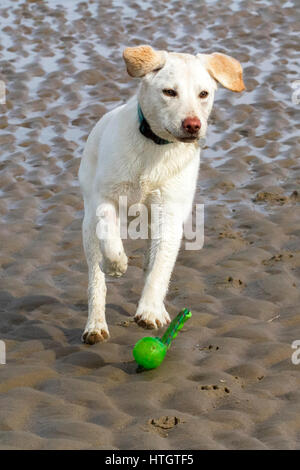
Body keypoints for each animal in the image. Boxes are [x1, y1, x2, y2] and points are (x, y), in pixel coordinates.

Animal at [78, 46, 245, 344]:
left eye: (204, 94)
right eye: (169, 92)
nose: (193, 125)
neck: (155, 147)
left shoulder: (170, 213)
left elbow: (160, 269)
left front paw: (150, 311)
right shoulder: (105, 199)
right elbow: (110, 240)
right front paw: (116, 265)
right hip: (88, 223)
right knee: (95, 279)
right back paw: (95, 325)